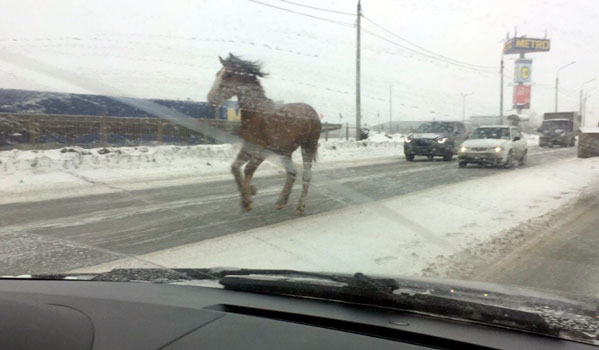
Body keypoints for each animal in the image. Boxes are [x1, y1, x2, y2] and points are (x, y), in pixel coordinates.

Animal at [209, 53, 324, 215]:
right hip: (285, 152)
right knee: (292, 173)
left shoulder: (263, 150)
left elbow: (248, 169)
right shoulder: (248, 147)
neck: (256, 113)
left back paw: (300, 207)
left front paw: (247, 201)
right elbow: (235, 167)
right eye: (217, 73)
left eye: (229, 74)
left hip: (308, 146)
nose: (211, 98)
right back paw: (281, 201)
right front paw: (251, 192)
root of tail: (312, 110)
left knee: (306, 175)